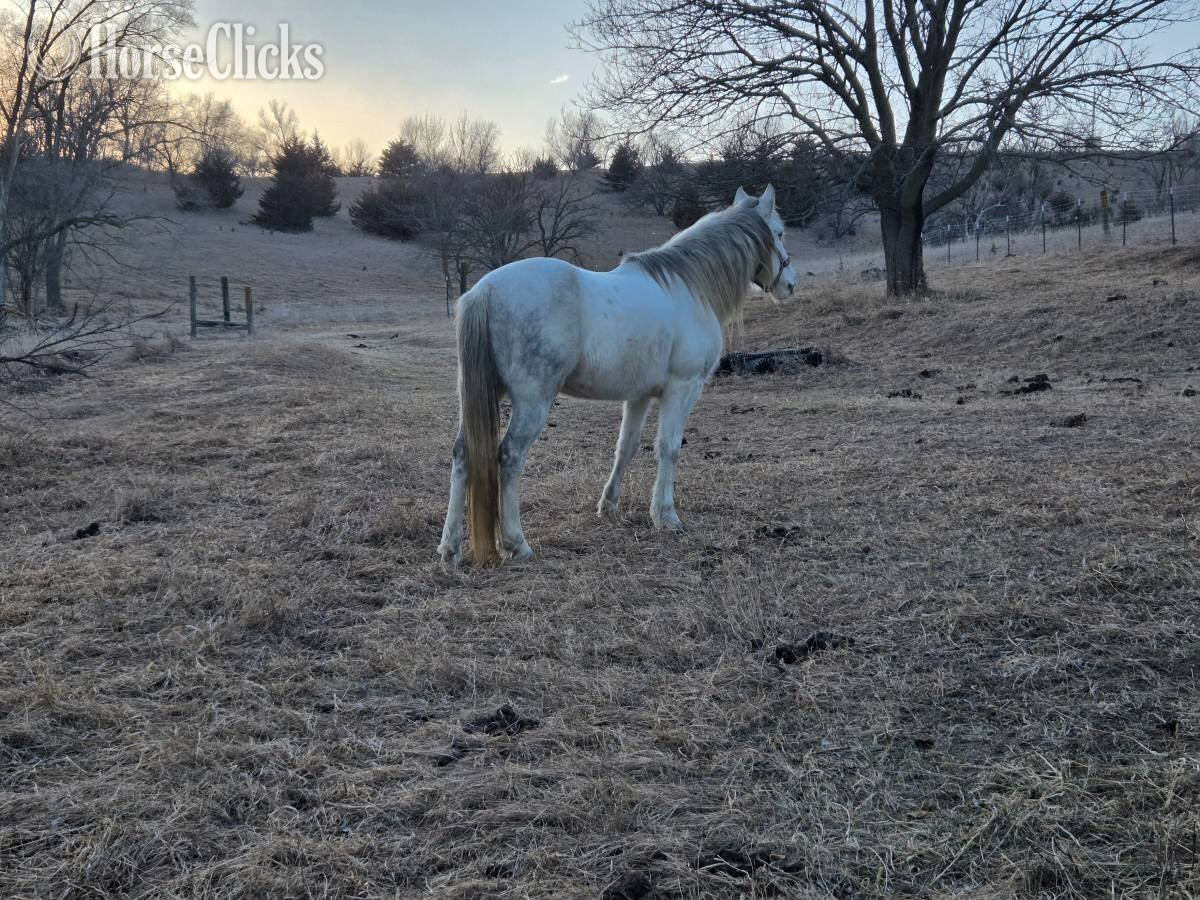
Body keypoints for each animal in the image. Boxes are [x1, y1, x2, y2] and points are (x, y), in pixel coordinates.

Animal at [438, 185, 797, 567]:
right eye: (779, 232)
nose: (791, 284)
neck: (689, 287)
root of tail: (485, 291)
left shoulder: (639, 395)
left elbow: (626, 447)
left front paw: (609, 504)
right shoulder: (683, 387)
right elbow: (669, 447)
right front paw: (665, 515)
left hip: (487, 394)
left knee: (463, 453)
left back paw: (450, 549)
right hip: (532, 400)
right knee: (509, 456)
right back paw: (516, 543)